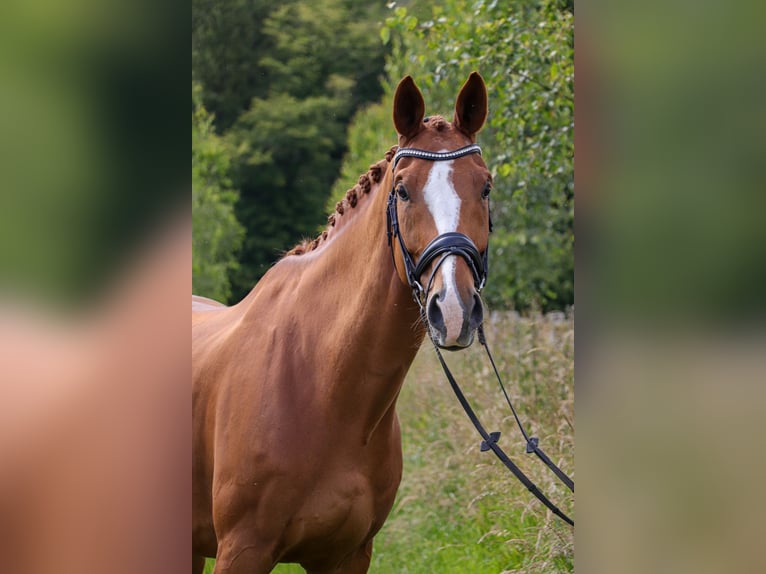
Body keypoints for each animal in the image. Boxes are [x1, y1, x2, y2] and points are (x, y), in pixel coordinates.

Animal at [192, 74, 492, 572]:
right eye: (403, 191)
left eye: (485, 188)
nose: (453, 309)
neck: (320, 380)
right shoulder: (242, 549)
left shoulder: (347, 554)